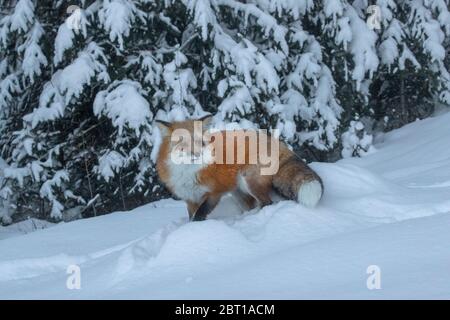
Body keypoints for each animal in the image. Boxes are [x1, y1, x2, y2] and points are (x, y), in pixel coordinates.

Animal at [156, 115, 324, 222]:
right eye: (181, 142)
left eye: (201, 143)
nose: (196, 154)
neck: (188, 172)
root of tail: (274, 141)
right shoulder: (190, 198)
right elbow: (192, 216)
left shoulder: (214, 193)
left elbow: (199, 215)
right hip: (238, 193)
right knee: (254, 204)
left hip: (249, 181)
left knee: (267, 203)